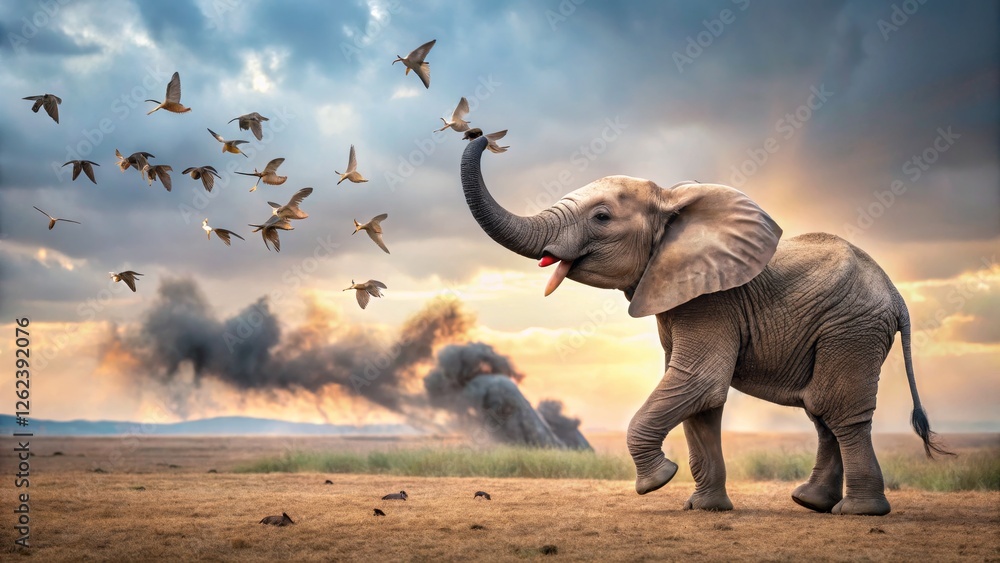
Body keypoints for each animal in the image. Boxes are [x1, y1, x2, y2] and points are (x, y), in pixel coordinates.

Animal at [458, 136, 950, 516]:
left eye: (601, 217)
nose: (478, 133)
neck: (671, 200)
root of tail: (898, 296)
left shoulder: (712, 302)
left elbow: (697, 381)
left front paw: (657, 481)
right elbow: (699, 400)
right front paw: (704, 508)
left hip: (851, 328)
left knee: (838, 409)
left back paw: (858, 512)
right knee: (821, 410)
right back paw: (810, 503)